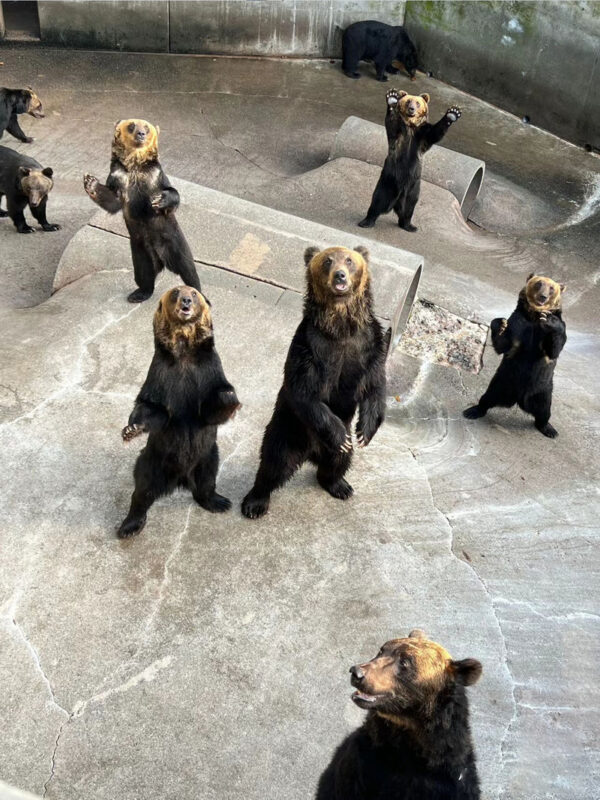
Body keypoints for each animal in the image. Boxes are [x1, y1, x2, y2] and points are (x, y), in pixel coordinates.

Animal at [83, 119, 201, 304]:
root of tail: (161, 259)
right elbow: (112, 200)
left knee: (187, 268)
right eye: (132, 125)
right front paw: (90, 182)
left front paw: (159, 200)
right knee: (144, 273)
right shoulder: (119, 177)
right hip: (140, 249)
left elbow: (171, 191)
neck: (135, 166)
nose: (141, 134)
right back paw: (138, 294)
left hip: (173, 241)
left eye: (147, 127)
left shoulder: (155, 175)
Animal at [118, 285, 240, 538]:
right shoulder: (162, 374)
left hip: (207, 455)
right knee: (143, 488)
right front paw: (131, 429)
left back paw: (218, 501)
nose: (185, 301)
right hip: (155, 459)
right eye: (175, 292)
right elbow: (153, 408)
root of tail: (180, 478)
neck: (183, 350)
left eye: (194, 293)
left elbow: (210, 410)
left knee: (206, 479)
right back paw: (129, 524)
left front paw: (229, 396)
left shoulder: (207, 370)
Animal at [241, 245, 387, 520]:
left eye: (349, 260)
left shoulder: (369, 345)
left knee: (340, 461)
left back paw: (340, 485)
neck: (341, 327)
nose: (340, 275)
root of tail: (311, 454)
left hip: (325, 451)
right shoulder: (309, 346)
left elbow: (375, 386)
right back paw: (255, 502)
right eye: (328, 261)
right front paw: (342, 436)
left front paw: (364, 432)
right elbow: (304, 391)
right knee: (273, 463)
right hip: (289, 431)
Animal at [358, 89, 461, 232]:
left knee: (409, 207)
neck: (411, 125)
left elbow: (435, 133)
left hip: (414, 187)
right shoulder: (398, 134)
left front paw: (452, 113)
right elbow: (391, 122)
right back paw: (366, 221)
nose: (412, 109)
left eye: (417, 103)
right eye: (408, 101)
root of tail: (398, 199)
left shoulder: (422, 136)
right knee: (378, 201)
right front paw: (392, 98)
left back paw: (409, 225)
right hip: (388, 181)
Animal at [463, 274, 567, 439]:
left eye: (551, 288)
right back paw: (473, 411)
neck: (533, 316)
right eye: (539, 283)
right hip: (502, 382)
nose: (543, 297)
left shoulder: (549, 334)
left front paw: (550, 320)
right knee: (488, 397)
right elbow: (504, 344)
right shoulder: (518, 323)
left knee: (544, 410)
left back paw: (549, 429)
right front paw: (500, 323)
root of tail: (518, 399)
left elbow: (553, 349)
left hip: (543, 390)